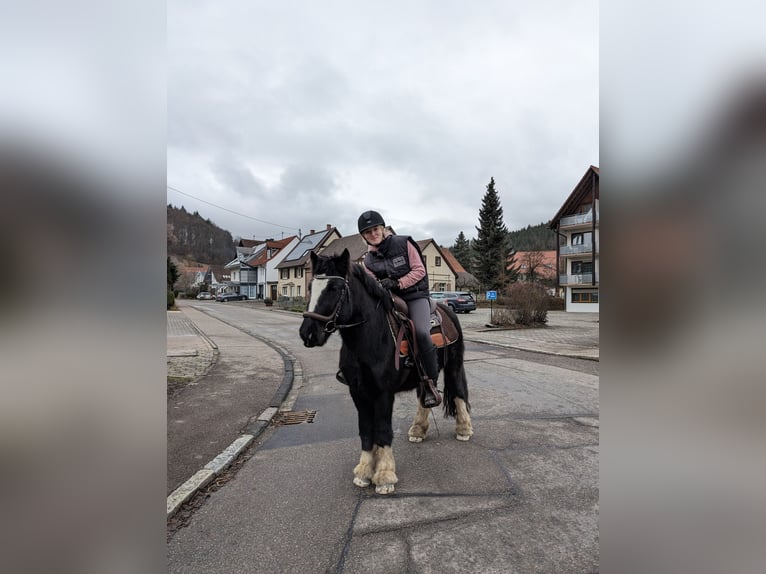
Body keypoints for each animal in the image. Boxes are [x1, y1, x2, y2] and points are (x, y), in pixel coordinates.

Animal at [300, 250, 474, 498]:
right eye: (310, 286)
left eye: (334, 288)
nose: (308, 333)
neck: (370, 338)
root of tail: (447, 310)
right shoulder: (359, 392)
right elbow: (366, 430)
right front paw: (364, 471)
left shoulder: (383, 394)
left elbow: (382, 431)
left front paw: (384, 475)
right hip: (424, 376)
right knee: (425, 396)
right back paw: (418, 430)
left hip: (454, 366)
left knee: (458, 393)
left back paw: (464, 429)